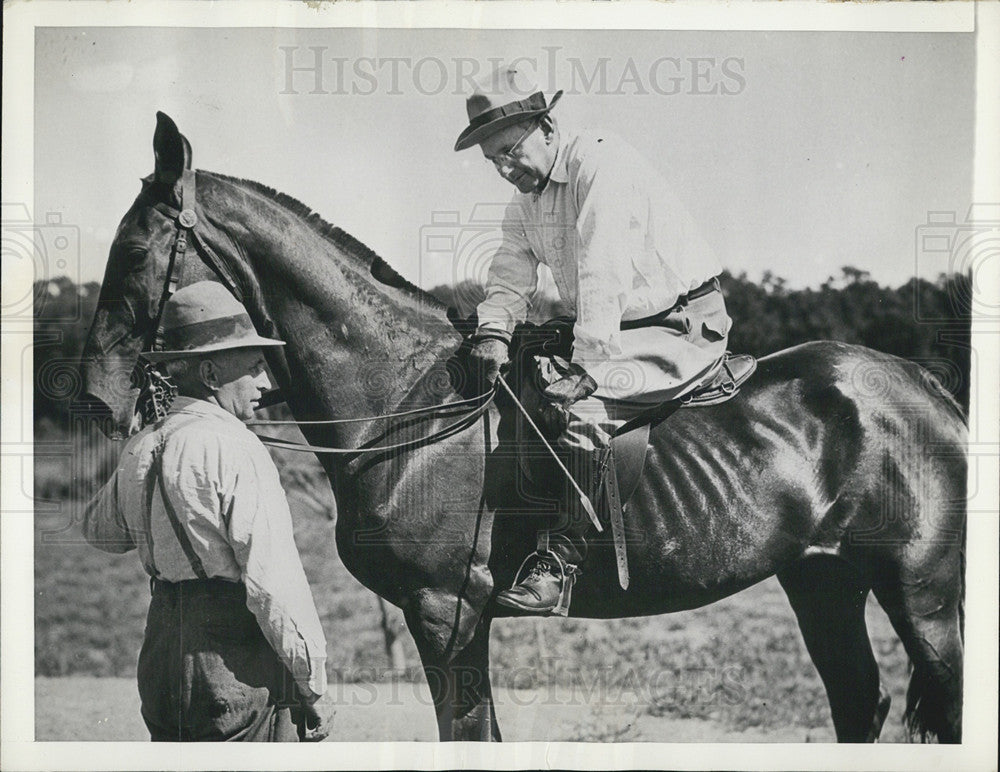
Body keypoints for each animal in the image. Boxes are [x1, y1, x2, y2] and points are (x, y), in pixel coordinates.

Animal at [82, 113, 964, 740]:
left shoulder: (446, 612)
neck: (404, 401)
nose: (97, 396)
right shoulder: (448, 618)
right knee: (859, 704)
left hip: (922, 593)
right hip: (824, 581)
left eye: (136, 250)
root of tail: (925, 385)